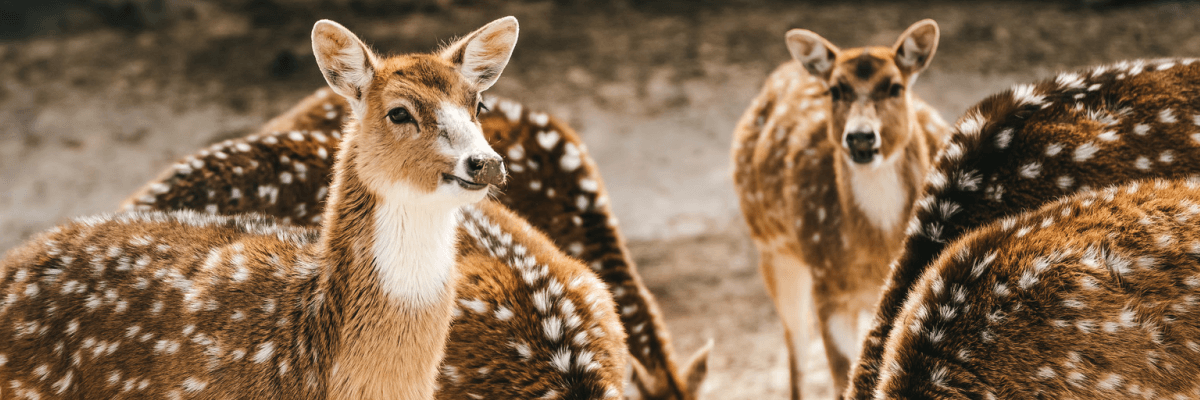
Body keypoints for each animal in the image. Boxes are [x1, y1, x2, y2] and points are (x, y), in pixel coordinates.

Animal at [724, 18, 950, 396]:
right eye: (835, 90)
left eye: (895, 87)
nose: (860, 137)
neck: (878, 248)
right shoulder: (827, 284)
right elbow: (843, 377)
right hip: (773, 249)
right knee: (796, 345)